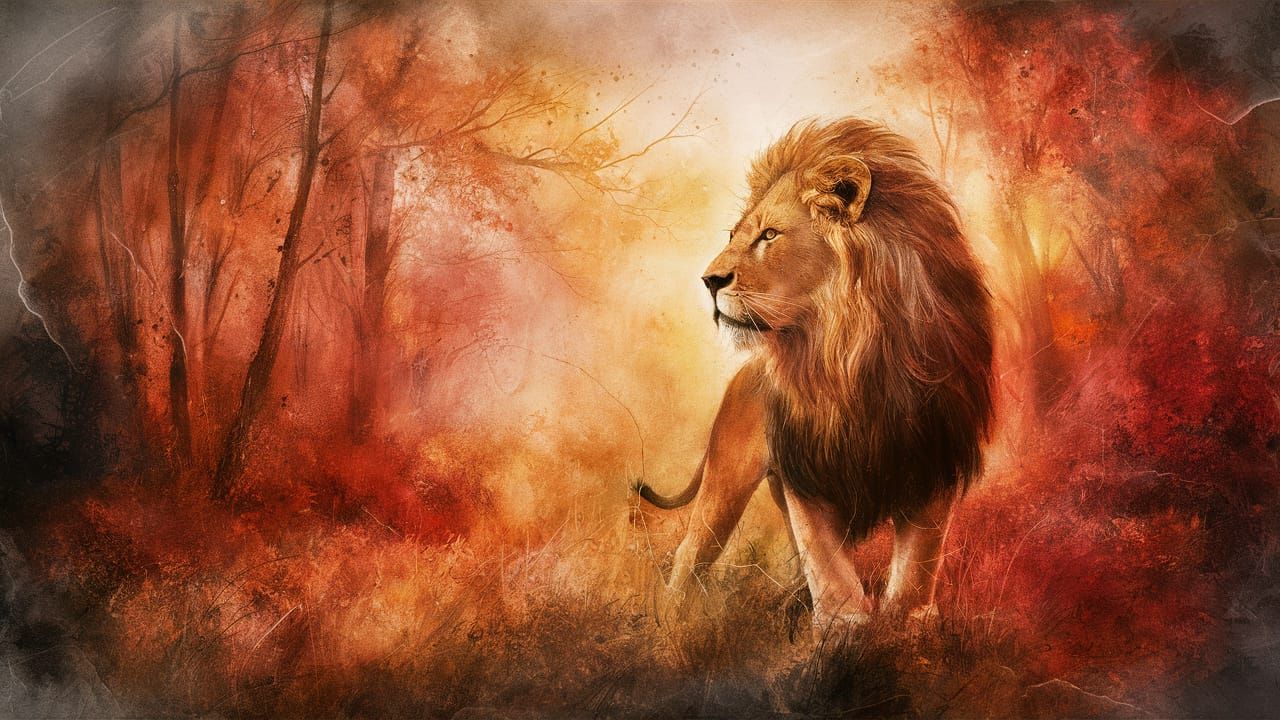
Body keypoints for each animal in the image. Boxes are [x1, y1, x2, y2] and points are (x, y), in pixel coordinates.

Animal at [637, 117, 994, 627]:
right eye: (733, 235)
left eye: (769, 235)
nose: (708, 281)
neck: (851, 354)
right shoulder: (807, 467)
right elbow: (826, 562)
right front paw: (844, 626)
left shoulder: (934, 455)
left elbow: (917, 563)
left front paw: (906, 625)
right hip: (727, 479)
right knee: (692, 552)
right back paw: (670, 624)